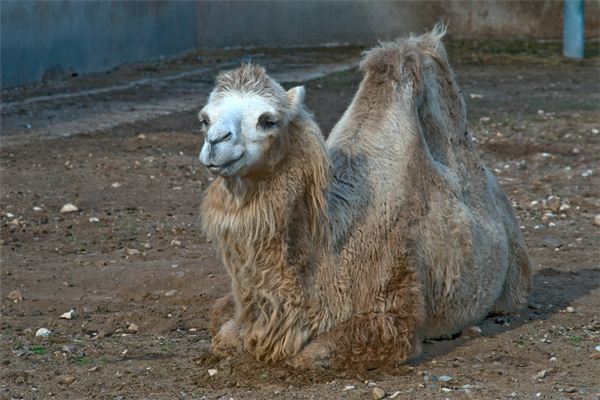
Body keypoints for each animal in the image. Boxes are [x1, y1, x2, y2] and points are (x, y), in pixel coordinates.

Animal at [197, 25, 528, 368]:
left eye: (268, 120)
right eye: (204, 119)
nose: (216, 142)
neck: (330, 240)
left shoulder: (392, 311)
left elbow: (310, 356)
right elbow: (221, 332)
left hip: (513, 277)